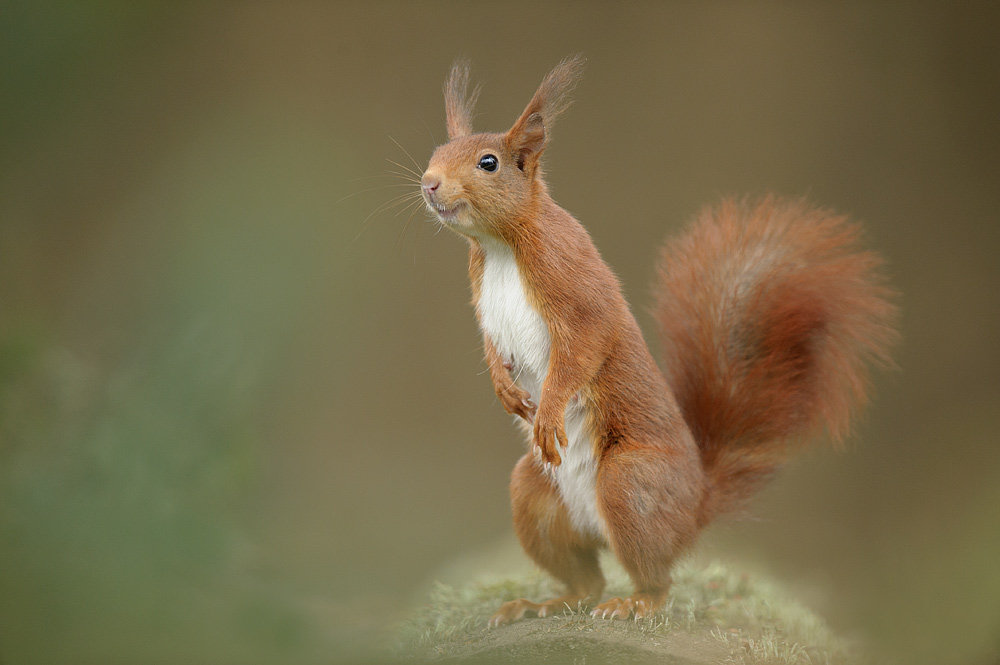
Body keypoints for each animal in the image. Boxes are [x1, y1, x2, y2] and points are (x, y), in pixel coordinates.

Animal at [416, 55, 900, 624]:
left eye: (488, 163)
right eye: (435, 153)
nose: (428, 183)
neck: (498, 246)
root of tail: (696, 507)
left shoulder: (576, 289)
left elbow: (584, 347)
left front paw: (548, 410)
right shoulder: (486, 306)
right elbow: (494, 351)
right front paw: (505, 390)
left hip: (629, 483)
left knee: (655, 579)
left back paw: (634, 604)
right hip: (533, 494)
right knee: (586, 580)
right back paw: (540, 604)